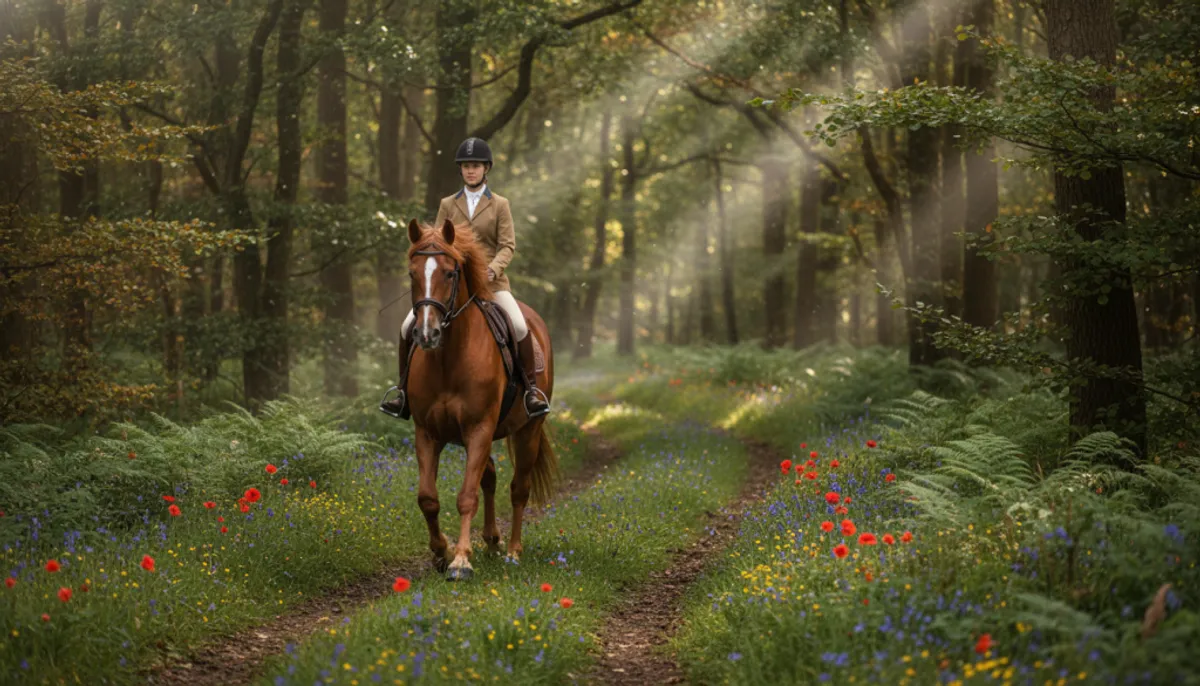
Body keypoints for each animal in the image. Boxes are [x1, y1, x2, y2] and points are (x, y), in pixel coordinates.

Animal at [400, 217, 558, 581]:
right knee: (491, 477)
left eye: (449, 273)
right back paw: (491, 541)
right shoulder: (427, 433)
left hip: (527, 430)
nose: (426, 334)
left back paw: (512, 550)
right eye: (412, 274)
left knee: (518, 488)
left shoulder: (479, 429)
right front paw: (441, 552)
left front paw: (460, 561)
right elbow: (427, 498)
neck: (448, 360)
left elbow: (466, 496)